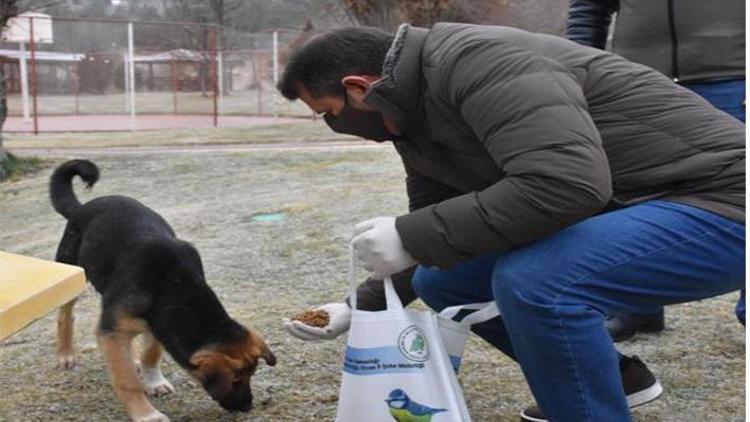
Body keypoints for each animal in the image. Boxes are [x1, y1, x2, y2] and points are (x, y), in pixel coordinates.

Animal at [50, 159, 280, 422]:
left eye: (252, 375)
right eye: (236, 380)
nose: (248, 406)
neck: (177, 286)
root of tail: (81, 208)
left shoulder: (158, 325)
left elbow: (151, 354)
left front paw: (153, 381)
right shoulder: (115, 331)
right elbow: (127, 381)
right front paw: (146, 414)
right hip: (71, 272)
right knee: (65, 316)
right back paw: (65, 355)